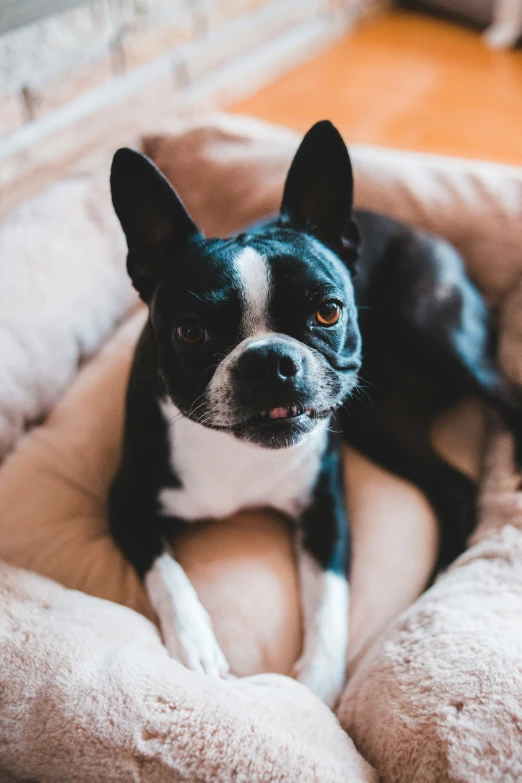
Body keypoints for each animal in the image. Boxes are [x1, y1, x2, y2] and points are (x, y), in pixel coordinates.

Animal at [107, 122, 516, 712]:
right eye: (190, 332)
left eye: (328, 310)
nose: (269, 361)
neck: (235, 451)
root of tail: (422, 231)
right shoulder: (126, 504)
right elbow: (169, 575)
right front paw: (197, 649)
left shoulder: (325, 508)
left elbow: (330, 600)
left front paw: (317, 685)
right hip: (378, 425)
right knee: (453, 487)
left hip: (442, 339)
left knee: (507, 394)